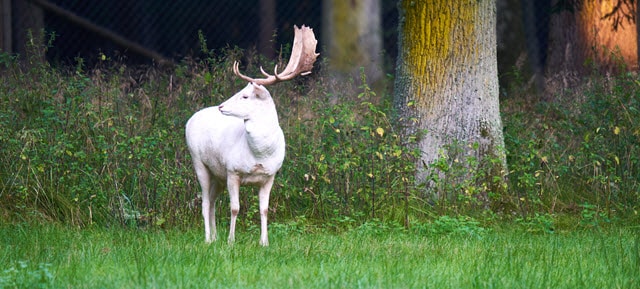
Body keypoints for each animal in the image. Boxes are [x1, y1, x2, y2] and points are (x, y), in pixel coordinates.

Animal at [185, 25, 318, 245]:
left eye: (245, 96)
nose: (221, 106)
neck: (259, 154)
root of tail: (191, 119)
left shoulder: (270, 175)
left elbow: (264, 210)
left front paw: (264, 242)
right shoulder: (232, 171)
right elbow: (234, 208)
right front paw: (231, 241)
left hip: (217, 174)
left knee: (212, 201)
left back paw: (215, 237)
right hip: (199, 162)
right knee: (204, 202)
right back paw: (208, 239)